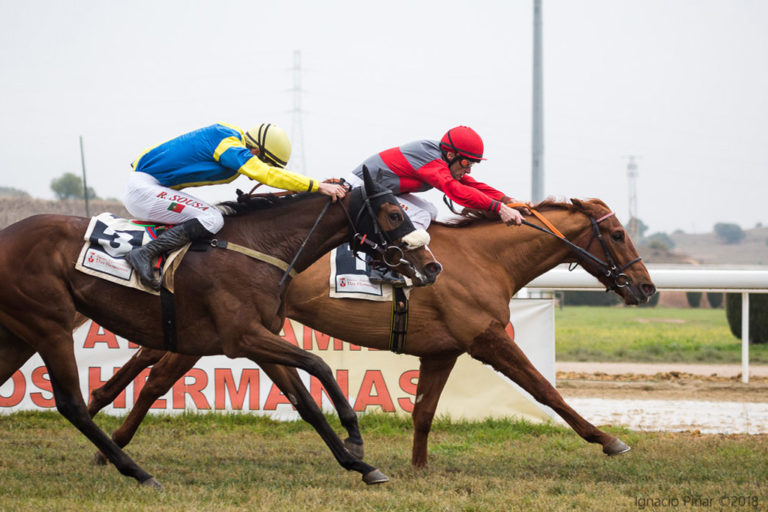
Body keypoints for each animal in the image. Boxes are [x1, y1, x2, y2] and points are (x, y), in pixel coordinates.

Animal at [0, 172, 440, 488]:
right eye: (395, 215)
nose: (432, 266)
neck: (260, 248)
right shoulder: (243, 337)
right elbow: (320, 365)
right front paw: (354, 435)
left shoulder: (261, 340)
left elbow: (306, 404)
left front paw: (360, 465)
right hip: (50, 326)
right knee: (71, 404)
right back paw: (138, 472)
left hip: (21, 333)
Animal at [88, 197, 656, 468]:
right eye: (618, 233)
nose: (647, 287)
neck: (484, 258)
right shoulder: (489, 339)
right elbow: (546, 391)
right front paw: (609, 440)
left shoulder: (444, 350)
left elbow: (424, 411)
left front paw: (418, 468)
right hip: (224, 329)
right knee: (157, 378)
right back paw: (107, 439)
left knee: (146, 361)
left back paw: (98, 412)